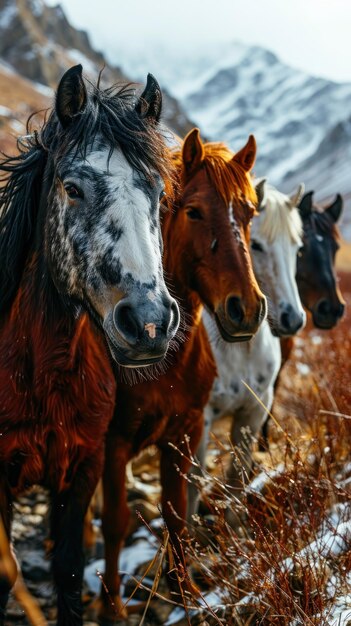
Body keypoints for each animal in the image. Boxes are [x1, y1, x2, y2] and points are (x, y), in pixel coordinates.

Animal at [97, 127, 266, 620]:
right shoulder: (113, 443)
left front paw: (185, 593)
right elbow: (115, 522)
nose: (247, 309)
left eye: (249, 213)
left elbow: (175, 513)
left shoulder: (185, 432)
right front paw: (111, 608)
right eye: (193, 211)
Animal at [188, 178, 306, 516]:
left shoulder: (253, 413)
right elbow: (190, 491)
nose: (293, 319)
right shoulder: (199, 421)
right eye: (257, 245)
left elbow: (237, 481)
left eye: (297, 248)